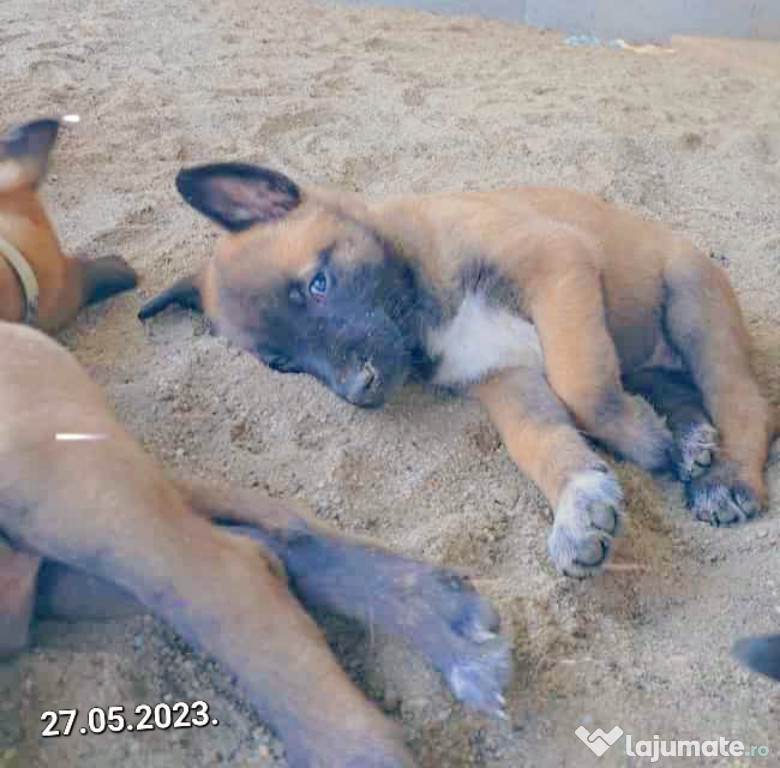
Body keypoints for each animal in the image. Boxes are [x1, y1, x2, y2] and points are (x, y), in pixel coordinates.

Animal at [0, 322, 508, 768]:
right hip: (65, 563)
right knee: (264, 543)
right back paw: (440, 617)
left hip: (56, 482)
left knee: (227, 575)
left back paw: (357, 746)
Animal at [137, 162, 776, 576]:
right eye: (281, 363)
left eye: (319, 284)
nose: (358, 391)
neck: (418, 298)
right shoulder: (503, 377)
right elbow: (540, 440)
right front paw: (579, 503)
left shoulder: (557, 263)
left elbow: (582, 385)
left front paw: (641, 441)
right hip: (648, 358)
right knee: (681, 391)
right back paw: (691, 440)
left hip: (692, 302)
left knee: (744, 403)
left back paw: (726, 479)